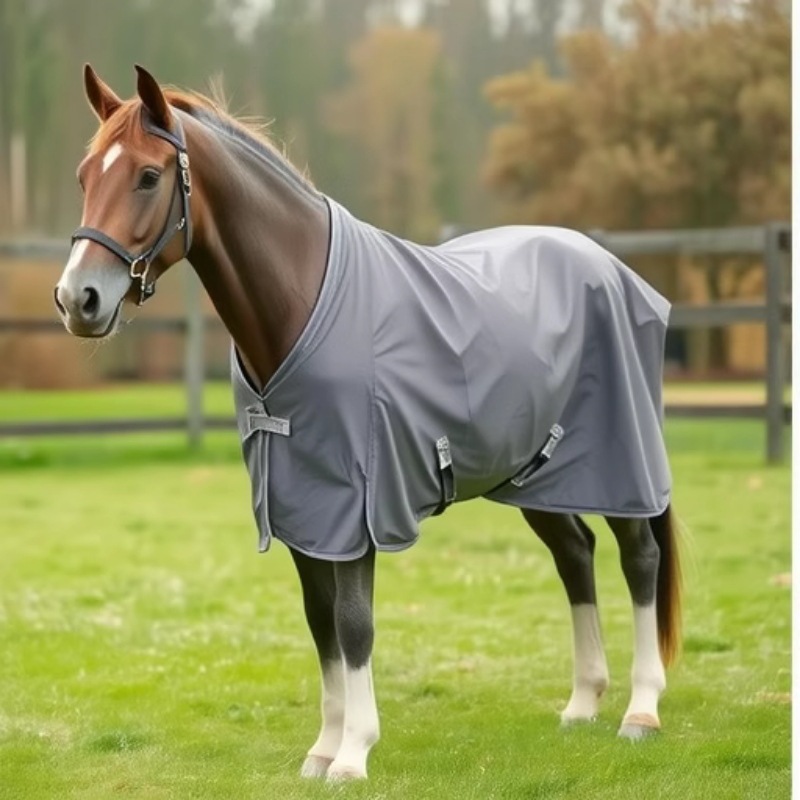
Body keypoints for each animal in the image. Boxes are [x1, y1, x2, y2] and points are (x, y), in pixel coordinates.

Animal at [55, 64, 682, 781]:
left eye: (148, 176)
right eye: (84, 176)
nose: (77, 299)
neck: (299, 303)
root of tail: (610, 267)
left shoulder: (358, 510)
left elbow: (355, 622)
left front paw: (354, 753)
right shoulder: (302, 511)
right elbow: (321, 619)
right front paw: (323, 749)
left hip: (619, 462)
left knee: (639, 557)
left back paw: (641, 710)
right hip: (534, 473)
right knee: (575, 554)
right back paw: (582, 704)